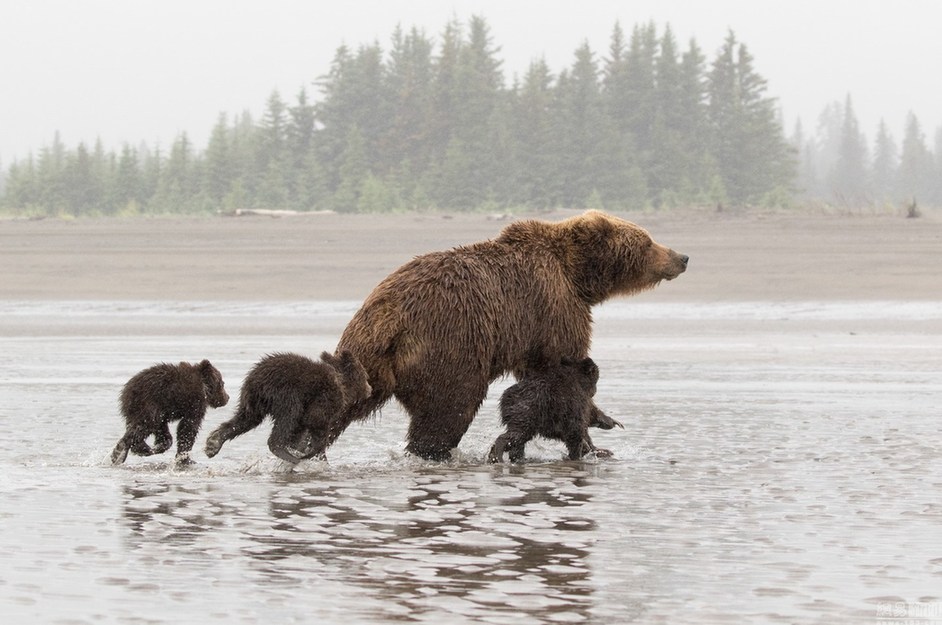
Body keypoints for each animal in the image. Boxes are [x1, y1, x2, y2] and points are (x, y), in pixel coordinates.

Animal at [204, 352, 372, 464]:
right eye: (365, 376)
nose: (370, 389)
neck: (342, 383)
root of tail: (257, 380)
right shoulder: (326, 396)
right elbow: (315, 419)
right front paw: (312, 452)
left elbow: (301, 430)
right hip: (286, 392)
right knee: (289, 417)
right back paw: (289, 455)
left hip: (252, 399)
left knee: (245, 419)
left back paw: (213, 442)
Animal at [490, 356, 624, 464]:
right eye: (596, 379)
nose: (595, 391)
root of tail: (506, 397)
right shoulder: (572, 402)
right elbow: (576, 430)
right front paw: (578, 454)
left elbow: (590, 417)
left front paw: (611, 422)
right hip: (527, 411)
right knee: (517, 435)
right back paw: (498, 455)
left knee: (519, 441)